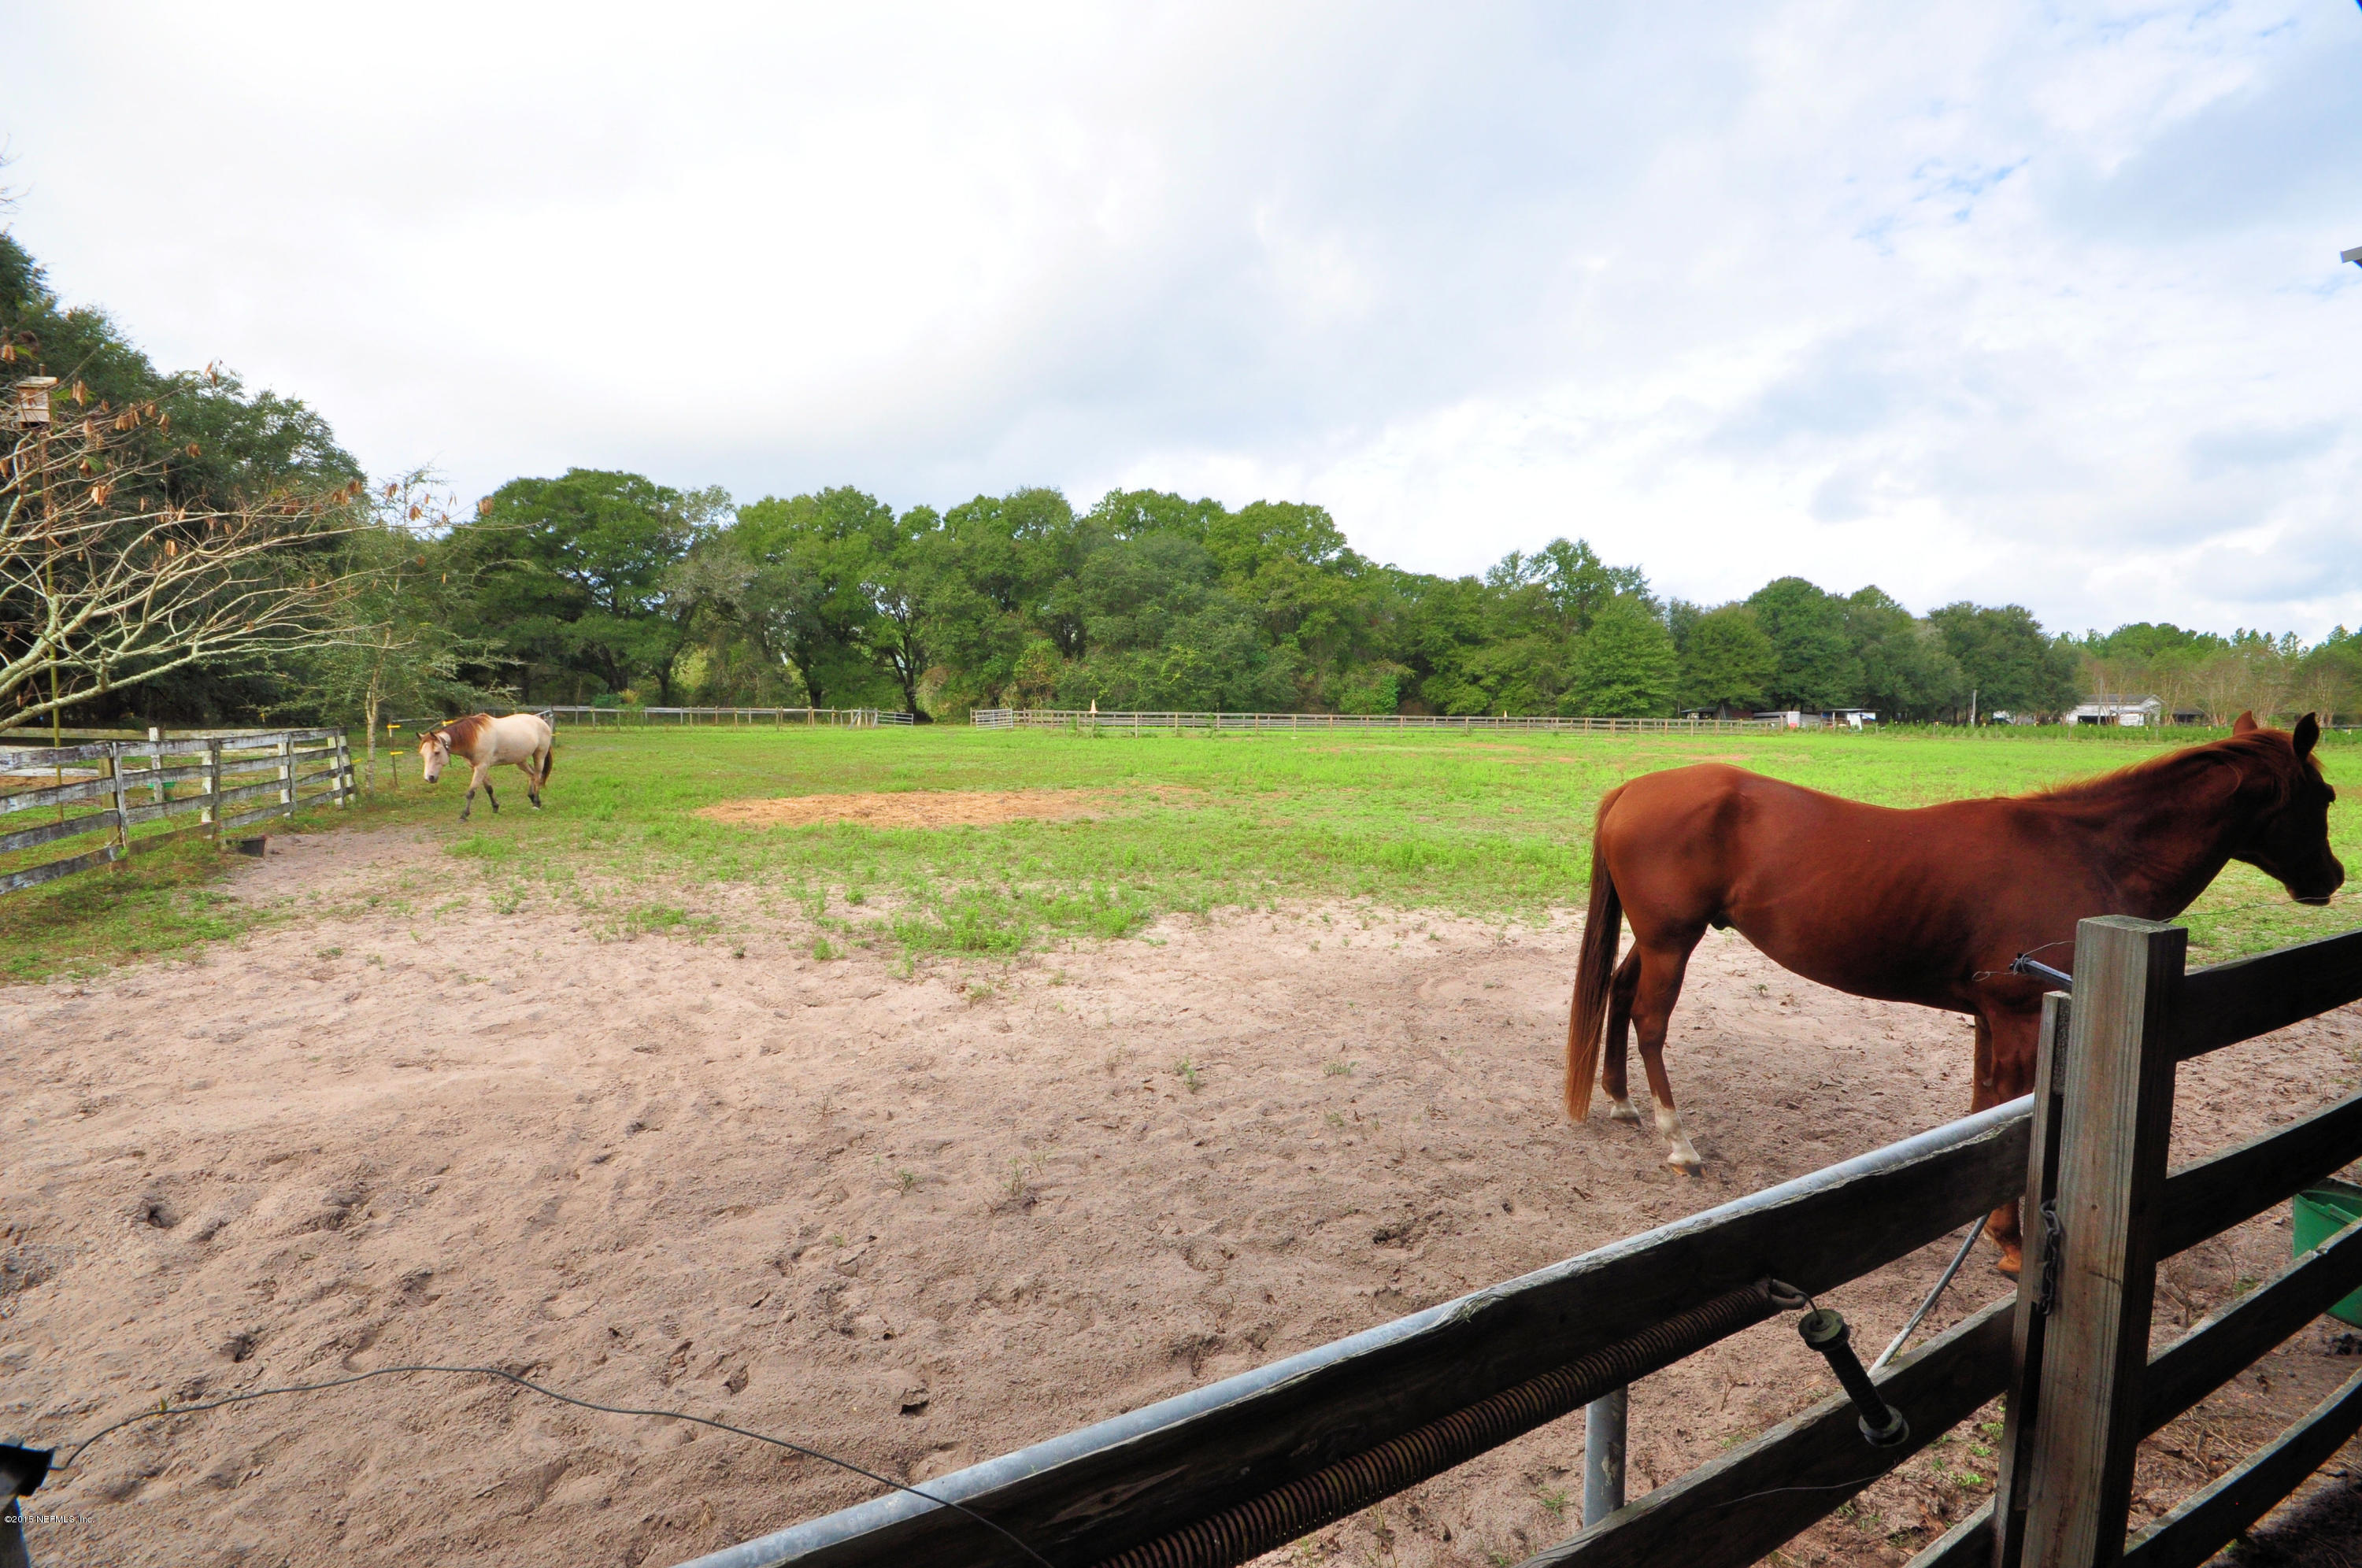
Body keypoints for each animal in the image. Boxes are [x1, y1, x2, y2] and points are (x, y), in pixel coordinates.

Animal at [417, 713, 555, 821]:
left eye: (436, 752)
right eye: (422, 754)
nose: (429, 778)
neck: (474, 738)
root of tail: (541, 721)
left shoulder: (481, 767)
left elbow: (471, 792)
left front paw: (464, 815)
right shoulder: (477, 768)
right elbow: (489, 789)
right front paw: (495, 807)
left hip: (539, 755)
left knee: (537, 777)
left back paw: (536, 803)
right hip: (520, 761)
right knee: (531, 774)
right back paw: (533, 798)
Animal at [1565, 712, 2341, 1275]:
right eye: (2327, 797)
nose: (2331, 878)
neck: (2089, 852)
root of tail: (1633, 788)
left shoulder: (1990, 1020)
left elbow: (1982, 1113)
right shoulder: (2022, 1020)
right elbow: (2008, 1118)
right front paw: (2012, 1242)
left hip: (1657, 940)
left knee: (1620, 994)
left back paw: (1622, 1102)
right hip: (1673, 941)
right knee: (1650, 1021)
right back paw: (1678, 1143)